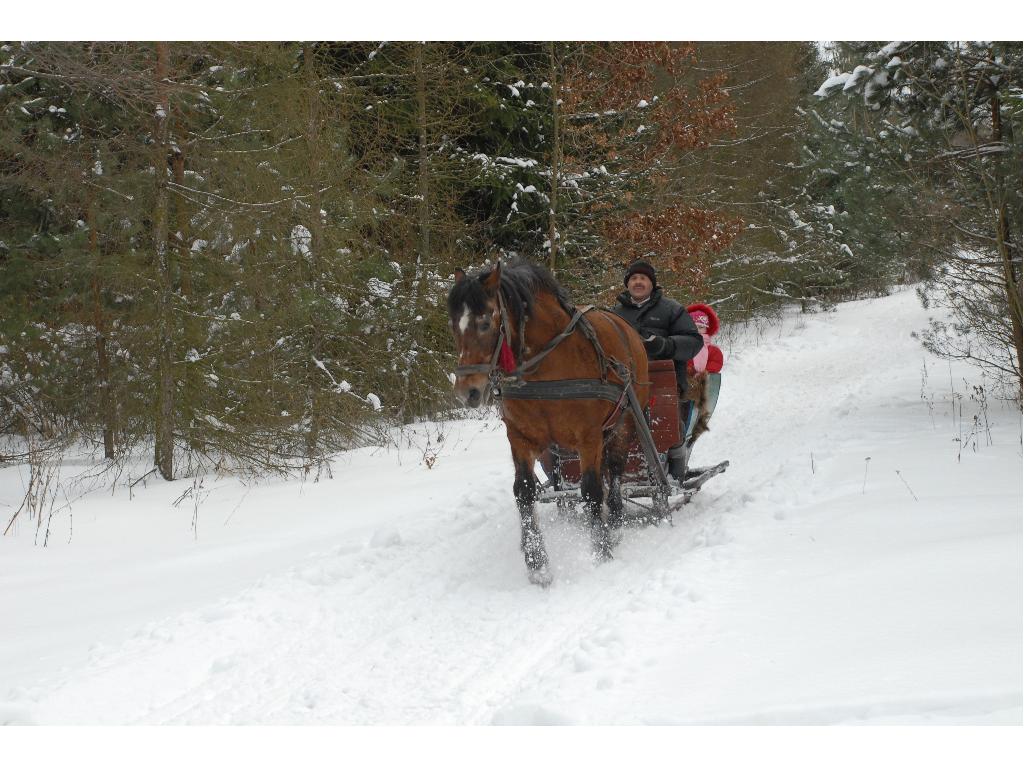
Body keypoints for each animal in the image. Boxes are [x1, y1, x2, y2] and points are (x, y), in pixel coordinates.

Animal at [446, 260, 647, 589]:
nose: (467, 392)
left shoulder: (588, 437)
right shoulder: (520, 438)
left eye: (485, 323)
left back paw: (616, 522)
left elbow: (592, 490)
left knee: (616, 469)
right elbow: (524, 491)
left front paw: (601, 552)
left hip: (625, 420)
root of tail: (626, 328)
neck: (545, 368)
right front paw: (537, 564)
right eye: (454, 326)